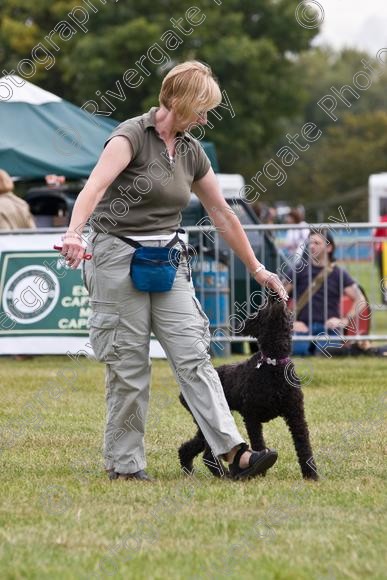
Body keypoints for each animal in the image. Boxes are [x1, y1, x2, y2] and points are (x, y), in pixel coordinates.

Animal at [179, 294, 318, 480]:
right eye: (261, 309)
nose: (273, 295)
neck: (273, 364)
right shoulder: (251, 416)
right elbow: (258, 443)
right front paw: (260, 471)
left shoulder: (295, 413)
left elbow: (304, 446)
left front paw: (311, 475)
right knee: (207, 453)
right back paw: (223, 474)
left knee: (197, 449)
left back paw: (199, 471)